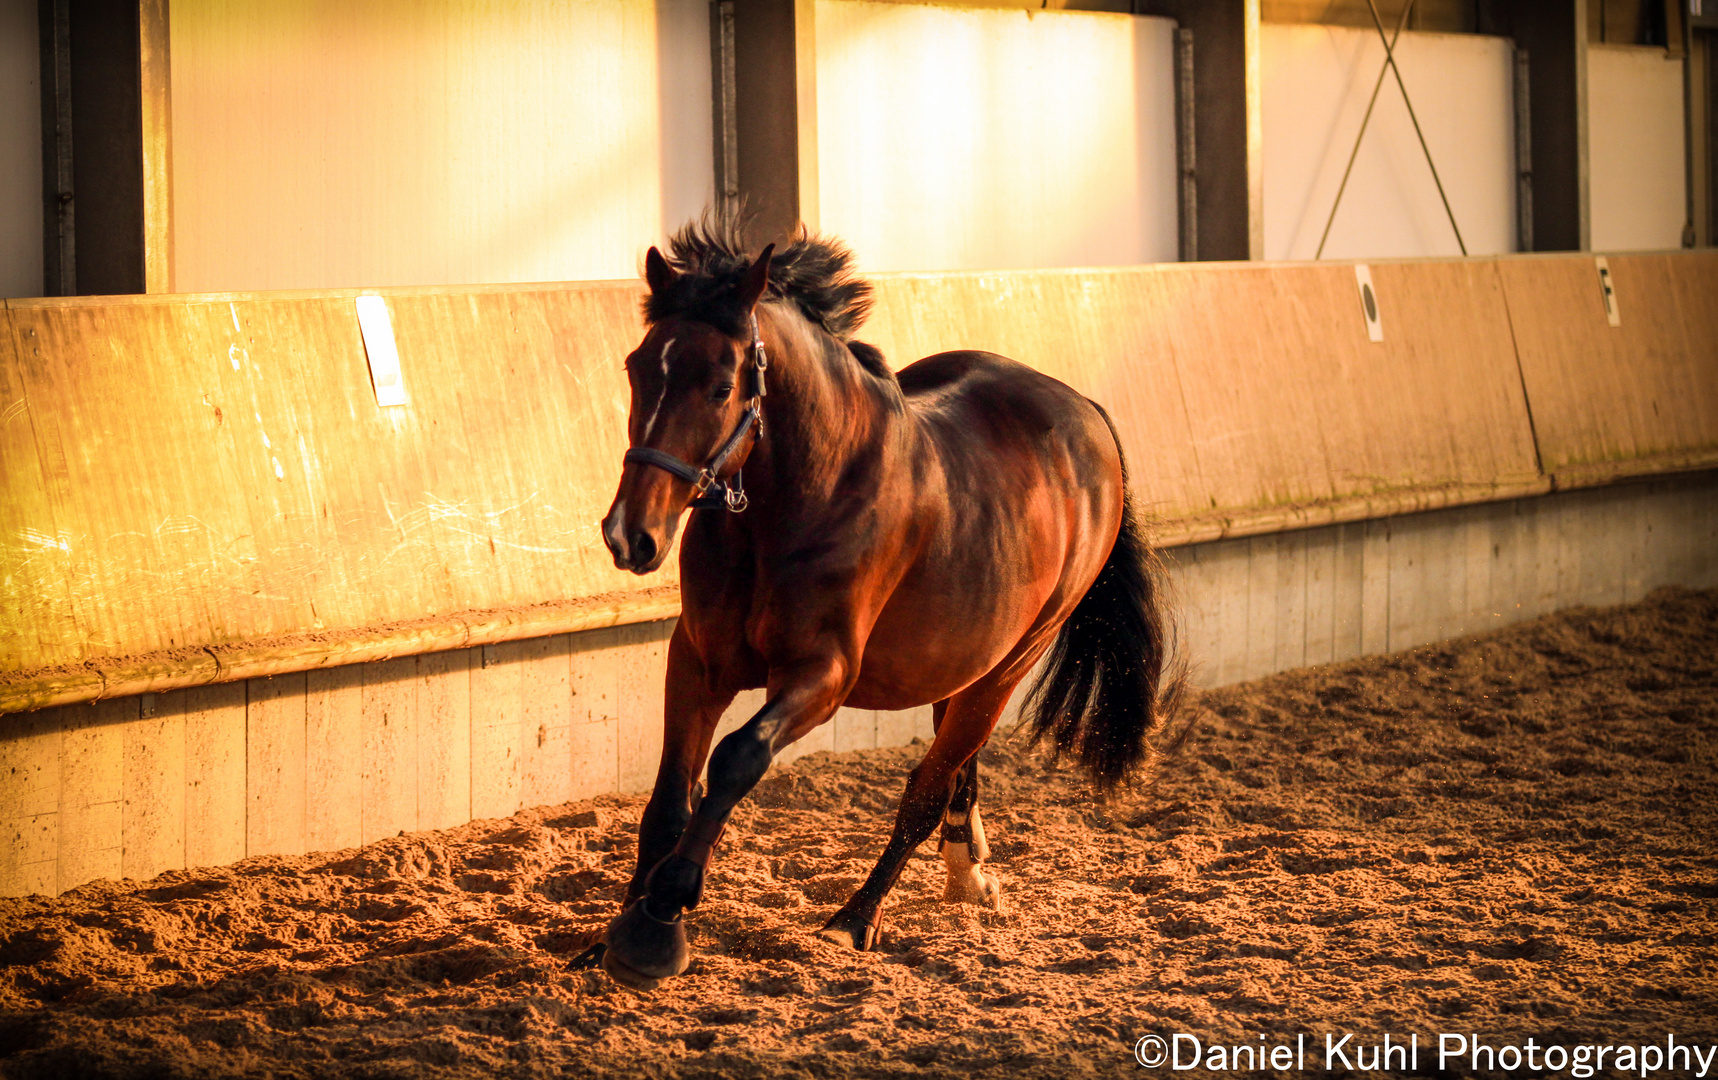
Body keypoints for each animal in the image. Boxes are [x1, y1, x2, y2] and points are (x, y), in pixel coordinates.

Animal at [584, 214, 1175, 988]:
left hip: (1013, 660)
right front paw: (620, 929)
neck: (795, 503)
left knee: (927, 788)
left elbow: (737, 759)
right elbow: (668, 794)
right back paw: (969, 873)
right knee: (956, 765)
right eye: (636, 369)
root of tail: (1087, 414)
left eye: (718, 386)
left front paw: (661, 919)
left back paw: (854, 919)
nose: (631, 535)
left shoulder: (823, 675)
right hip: (964, 659)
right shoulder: (699, 661)